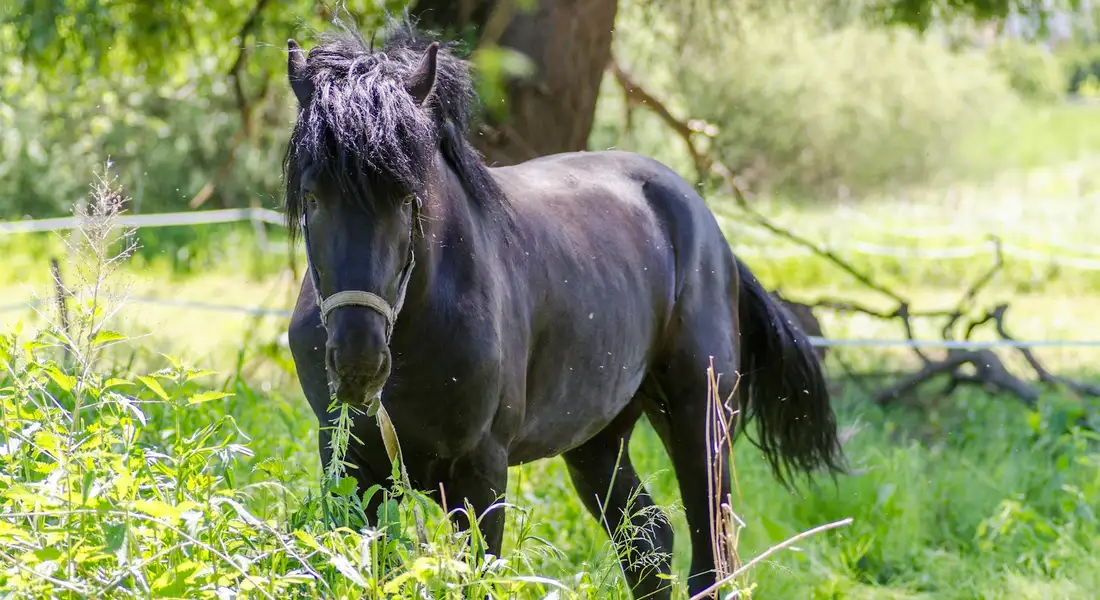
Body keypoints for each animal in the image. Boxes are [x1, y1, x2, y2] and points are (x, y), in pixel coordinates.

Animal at [282, 20, 844, 599]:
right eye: (313, 196)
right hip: (599, 440)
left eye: (407, 197)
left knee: (711, 557)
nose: (358, 361)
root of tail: (708, 225)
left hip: (702, 419)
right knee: (649, 542)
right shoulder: (350, 466)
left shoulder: (480, 472)